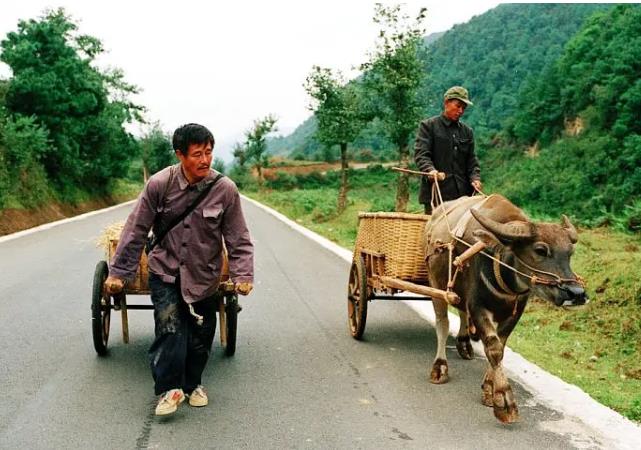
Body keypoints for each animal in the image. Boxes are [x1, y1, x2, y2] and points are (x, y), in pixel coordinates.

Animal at [424, 194, 587, 423]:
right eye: (540, 250)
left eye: (570, 252)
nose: (577, 293)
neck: (500, 268)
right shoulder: (478, 306)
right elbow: (493, 347)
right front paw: (504, 400)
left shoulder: (515, 312)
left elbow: (500, 346)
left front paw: (489, 389)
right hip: (435, 284)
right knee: (443, 323)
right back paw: (439, 367)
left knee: (461, 313)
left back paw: (464, 344)